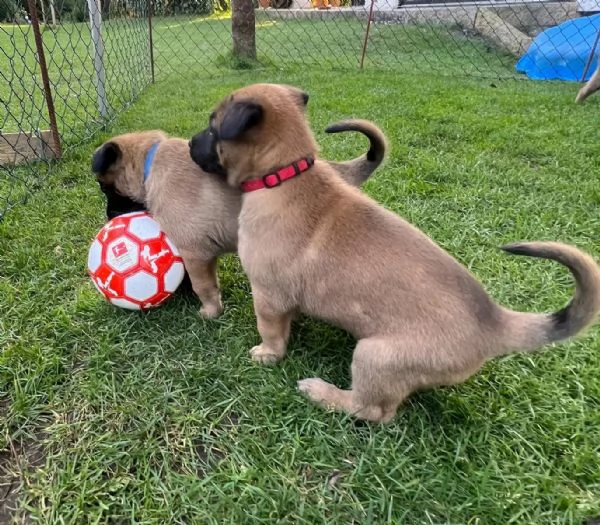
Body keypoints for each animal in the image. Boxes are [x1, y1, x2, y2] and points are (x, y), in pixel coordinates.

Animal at [91, 121, 386, 318]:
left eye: (105, 188)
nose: (110, 216)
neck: (150, 163)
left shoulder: (193, 251)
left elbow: (202, 285)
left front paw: (210, 312)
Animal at [190, 84, 600, 424]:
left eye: (212, 128)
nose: (192, 142)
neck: (286, 173)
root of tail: (495, 322)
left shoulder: (268, 293)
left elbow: (271, 329)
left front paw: (267, 354)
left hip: (375, 356)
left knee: (373, 411)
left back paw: (323, 393)